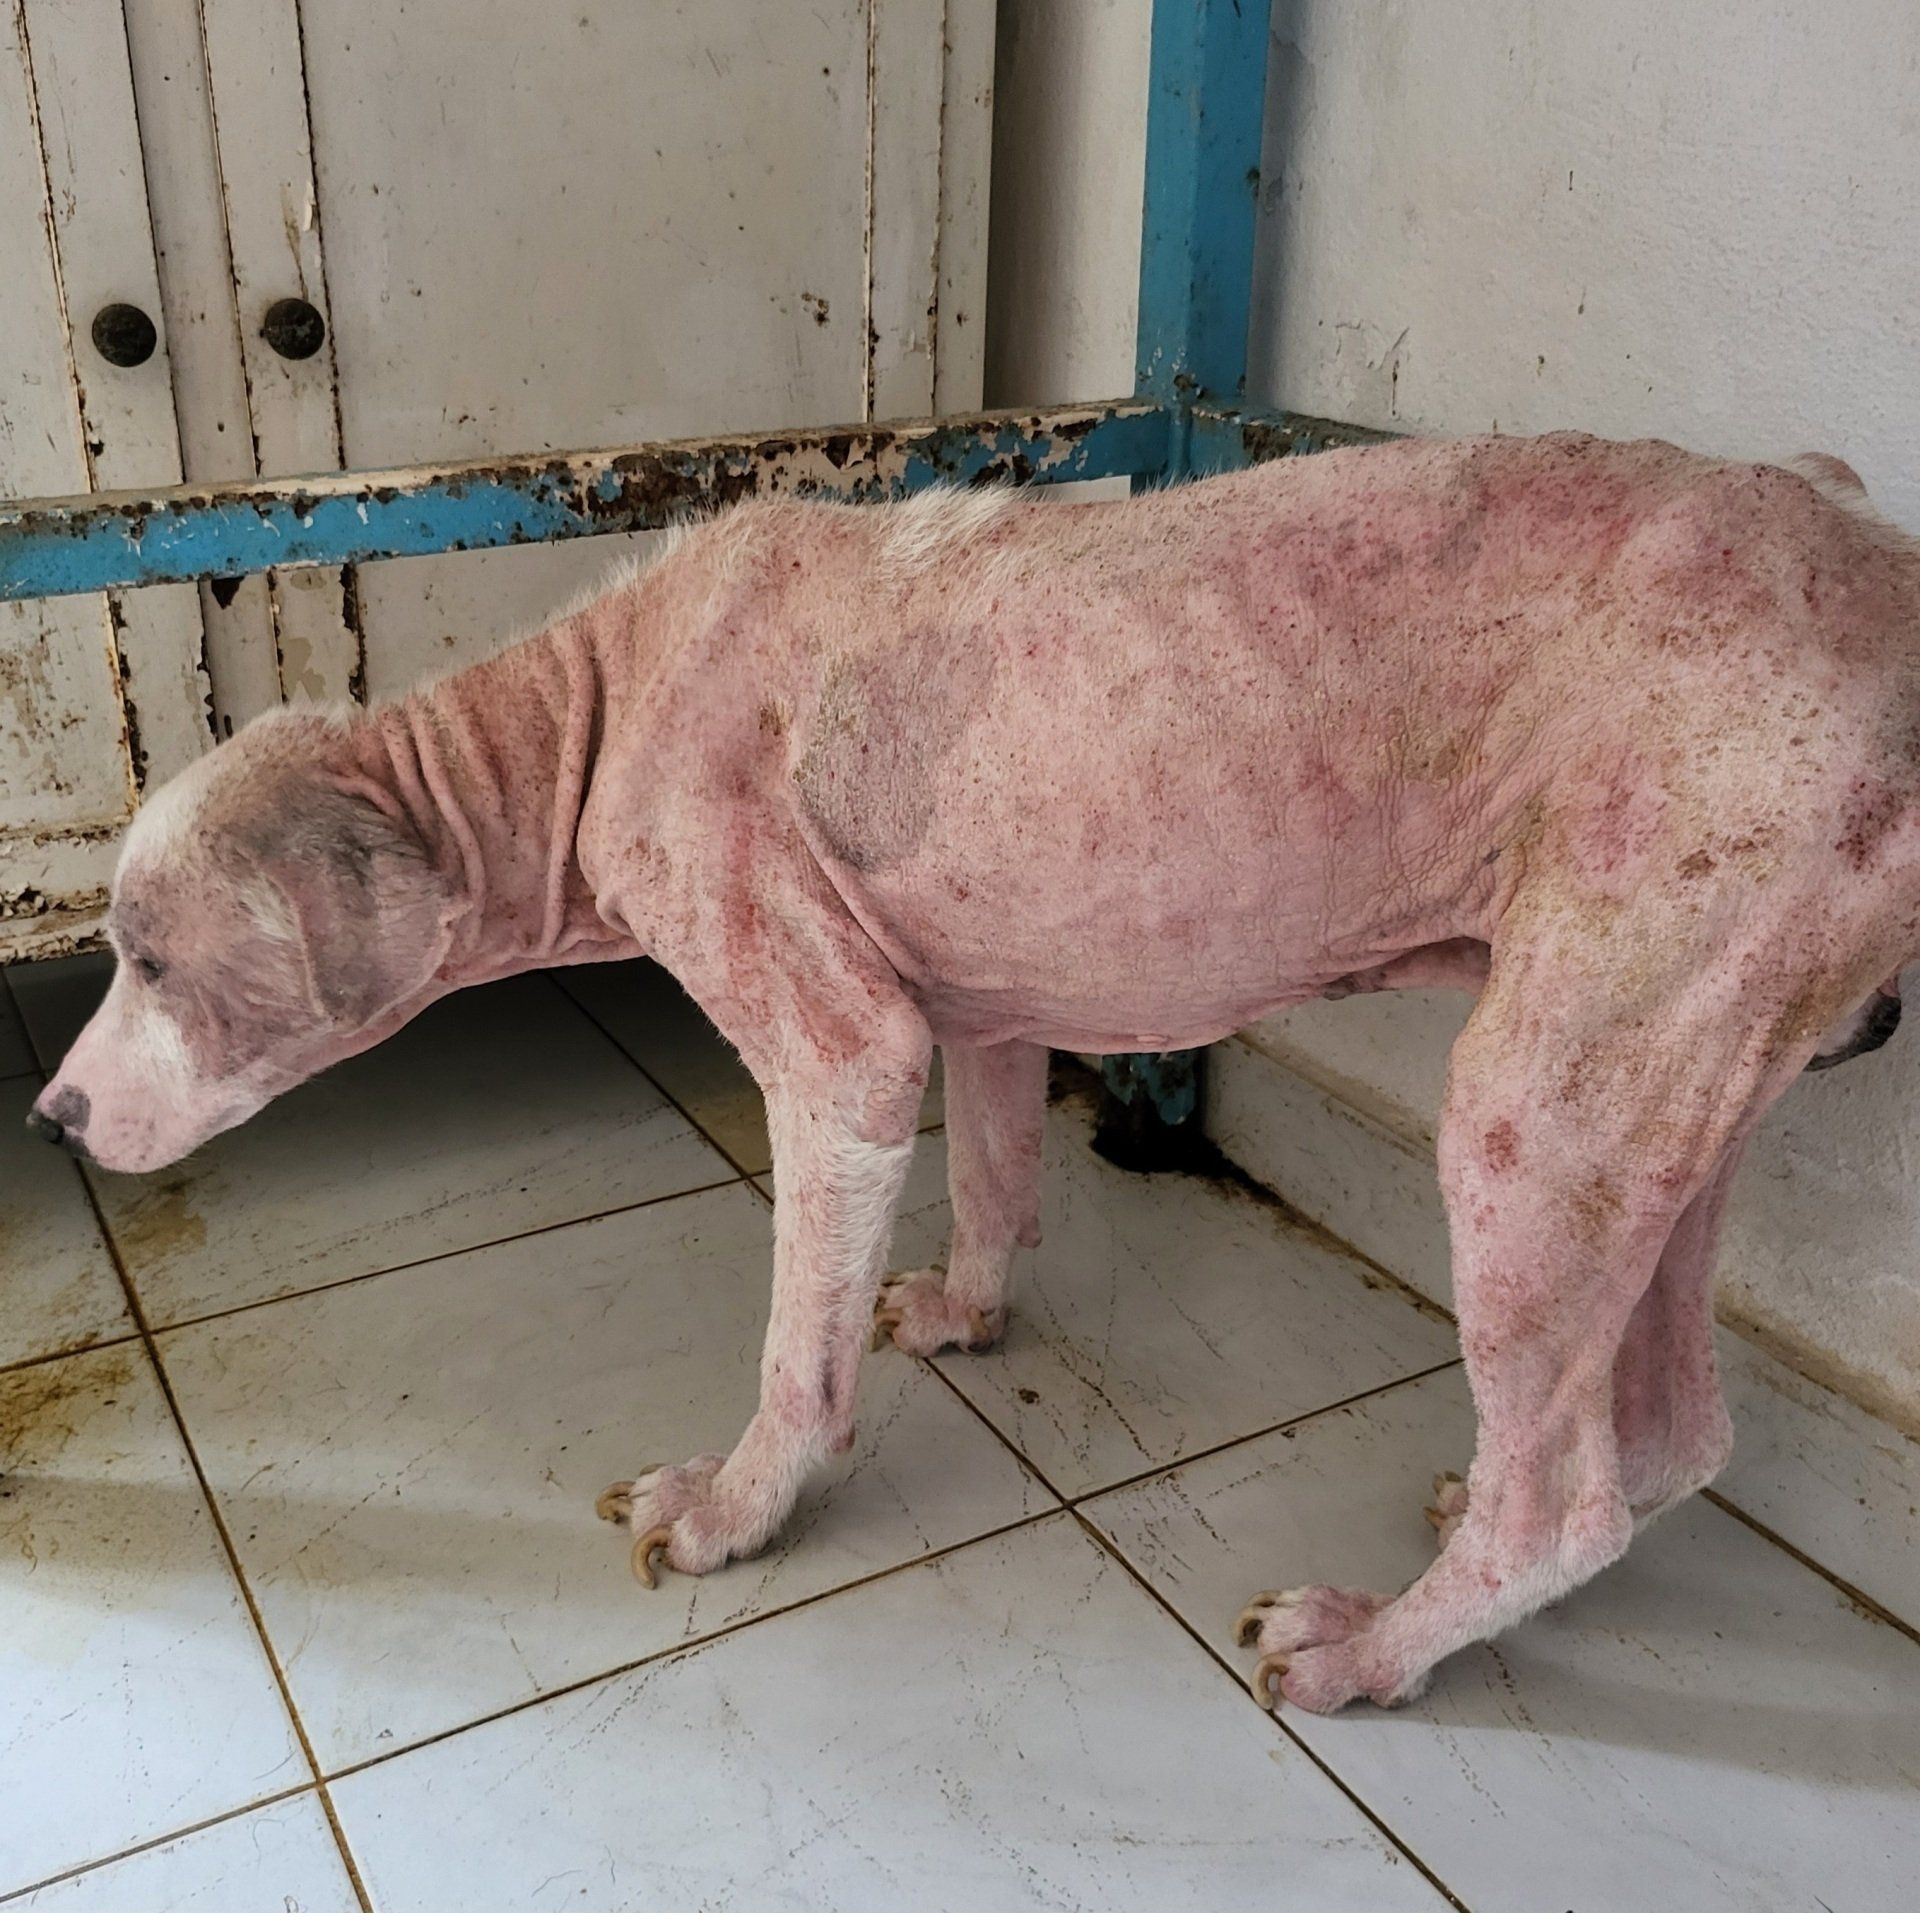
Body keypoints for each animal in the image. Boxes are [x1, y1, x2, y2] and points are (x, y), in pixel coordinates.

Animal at [27, 431, 1920, 1715]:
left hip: (1544, 1116)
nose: (49, 1119)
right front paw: (961, 1309)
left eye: (145, 954)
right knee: (1671, 1433)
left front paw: (737, 1507)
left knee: (1568, 1497)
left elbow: (794, 1348)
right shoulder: (996, 1006)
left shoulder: (845, 1056)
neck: (588, 712)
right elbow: (1001, 1172)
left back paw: (1379, 1642)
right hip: (1669, 1094)